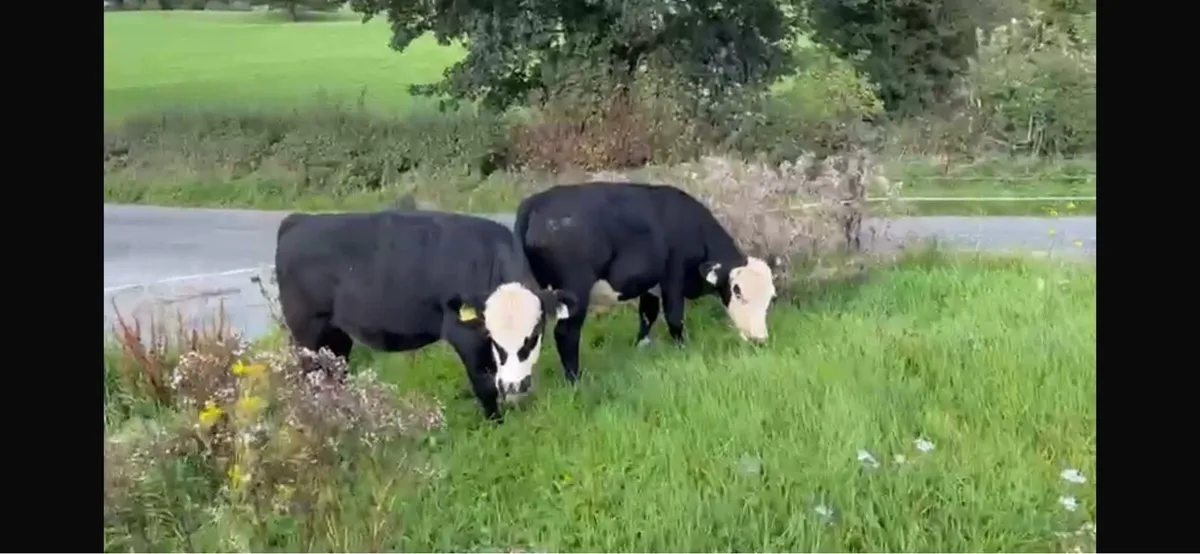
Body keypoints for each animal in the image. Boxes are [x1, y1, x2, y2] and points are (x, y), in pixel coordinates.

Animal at [273, 209, 579, 422]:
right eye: (492, 336)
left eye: (535, 333)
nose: (514, 384)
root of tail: (299, 220)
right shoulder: (464, 333)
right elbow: (484, 382)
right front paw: (496, 423)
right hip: (307, 332)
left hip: (335, 335)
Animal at [513, 181, 782, 384]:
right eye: (737, 292)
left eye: (770, 298)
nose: (759, 340)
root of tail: (537, 202)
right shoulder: (672, 277)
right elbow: (674, 316)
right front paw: (682, 348)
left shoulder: (650, 285)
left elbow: (647, 314)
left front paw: (641, 344)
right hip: (575, 287)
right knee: (566, 333)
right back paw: (575, 380)